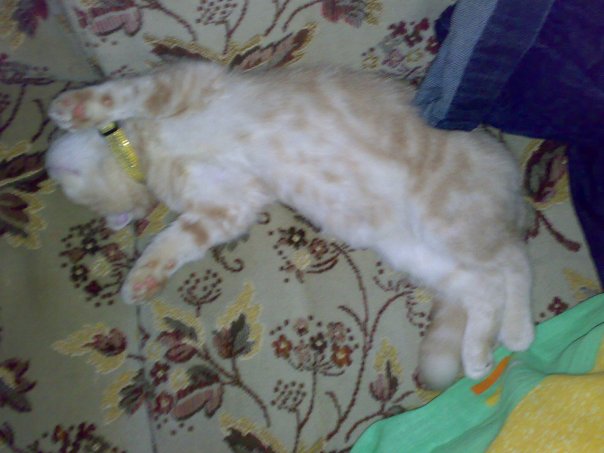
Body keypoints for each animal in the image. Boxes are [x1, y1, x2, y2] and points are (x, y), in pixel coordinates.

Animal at [46, 61, 534, 389]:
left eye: (72, 192)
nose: (48, 168)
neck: (150, 156)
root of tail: (505, 165)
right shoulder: (228, 206)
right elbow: (174, 242)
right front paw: (142, 279)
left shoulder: (186, 82)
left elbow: (125, 93)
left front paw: (75, 107)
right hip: (415, 251)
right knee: (483, 285)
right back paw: (478, 351)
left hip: (449, 220)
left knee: (512, 262)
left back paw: (517, 330)